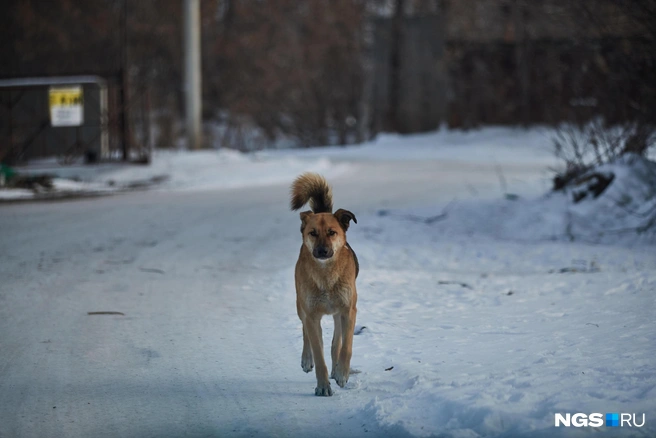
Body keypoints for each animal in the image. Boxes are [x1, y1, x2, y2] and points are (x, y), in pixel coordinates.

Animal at [290, 173, 358, 396]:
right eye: (313, 233)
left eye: (331, 232)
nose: (321, 251)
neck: (326, 276)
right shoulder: (312, 315)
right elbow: (318, 353)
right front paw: (322, 386)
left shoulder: (348, 310)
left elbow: (346, 346)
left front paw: (342, 373)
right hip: (301, 305)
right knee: (306, 331)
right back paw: (306, 359)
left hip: (338, 313)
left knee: (336, 341)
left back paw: (336, 368)